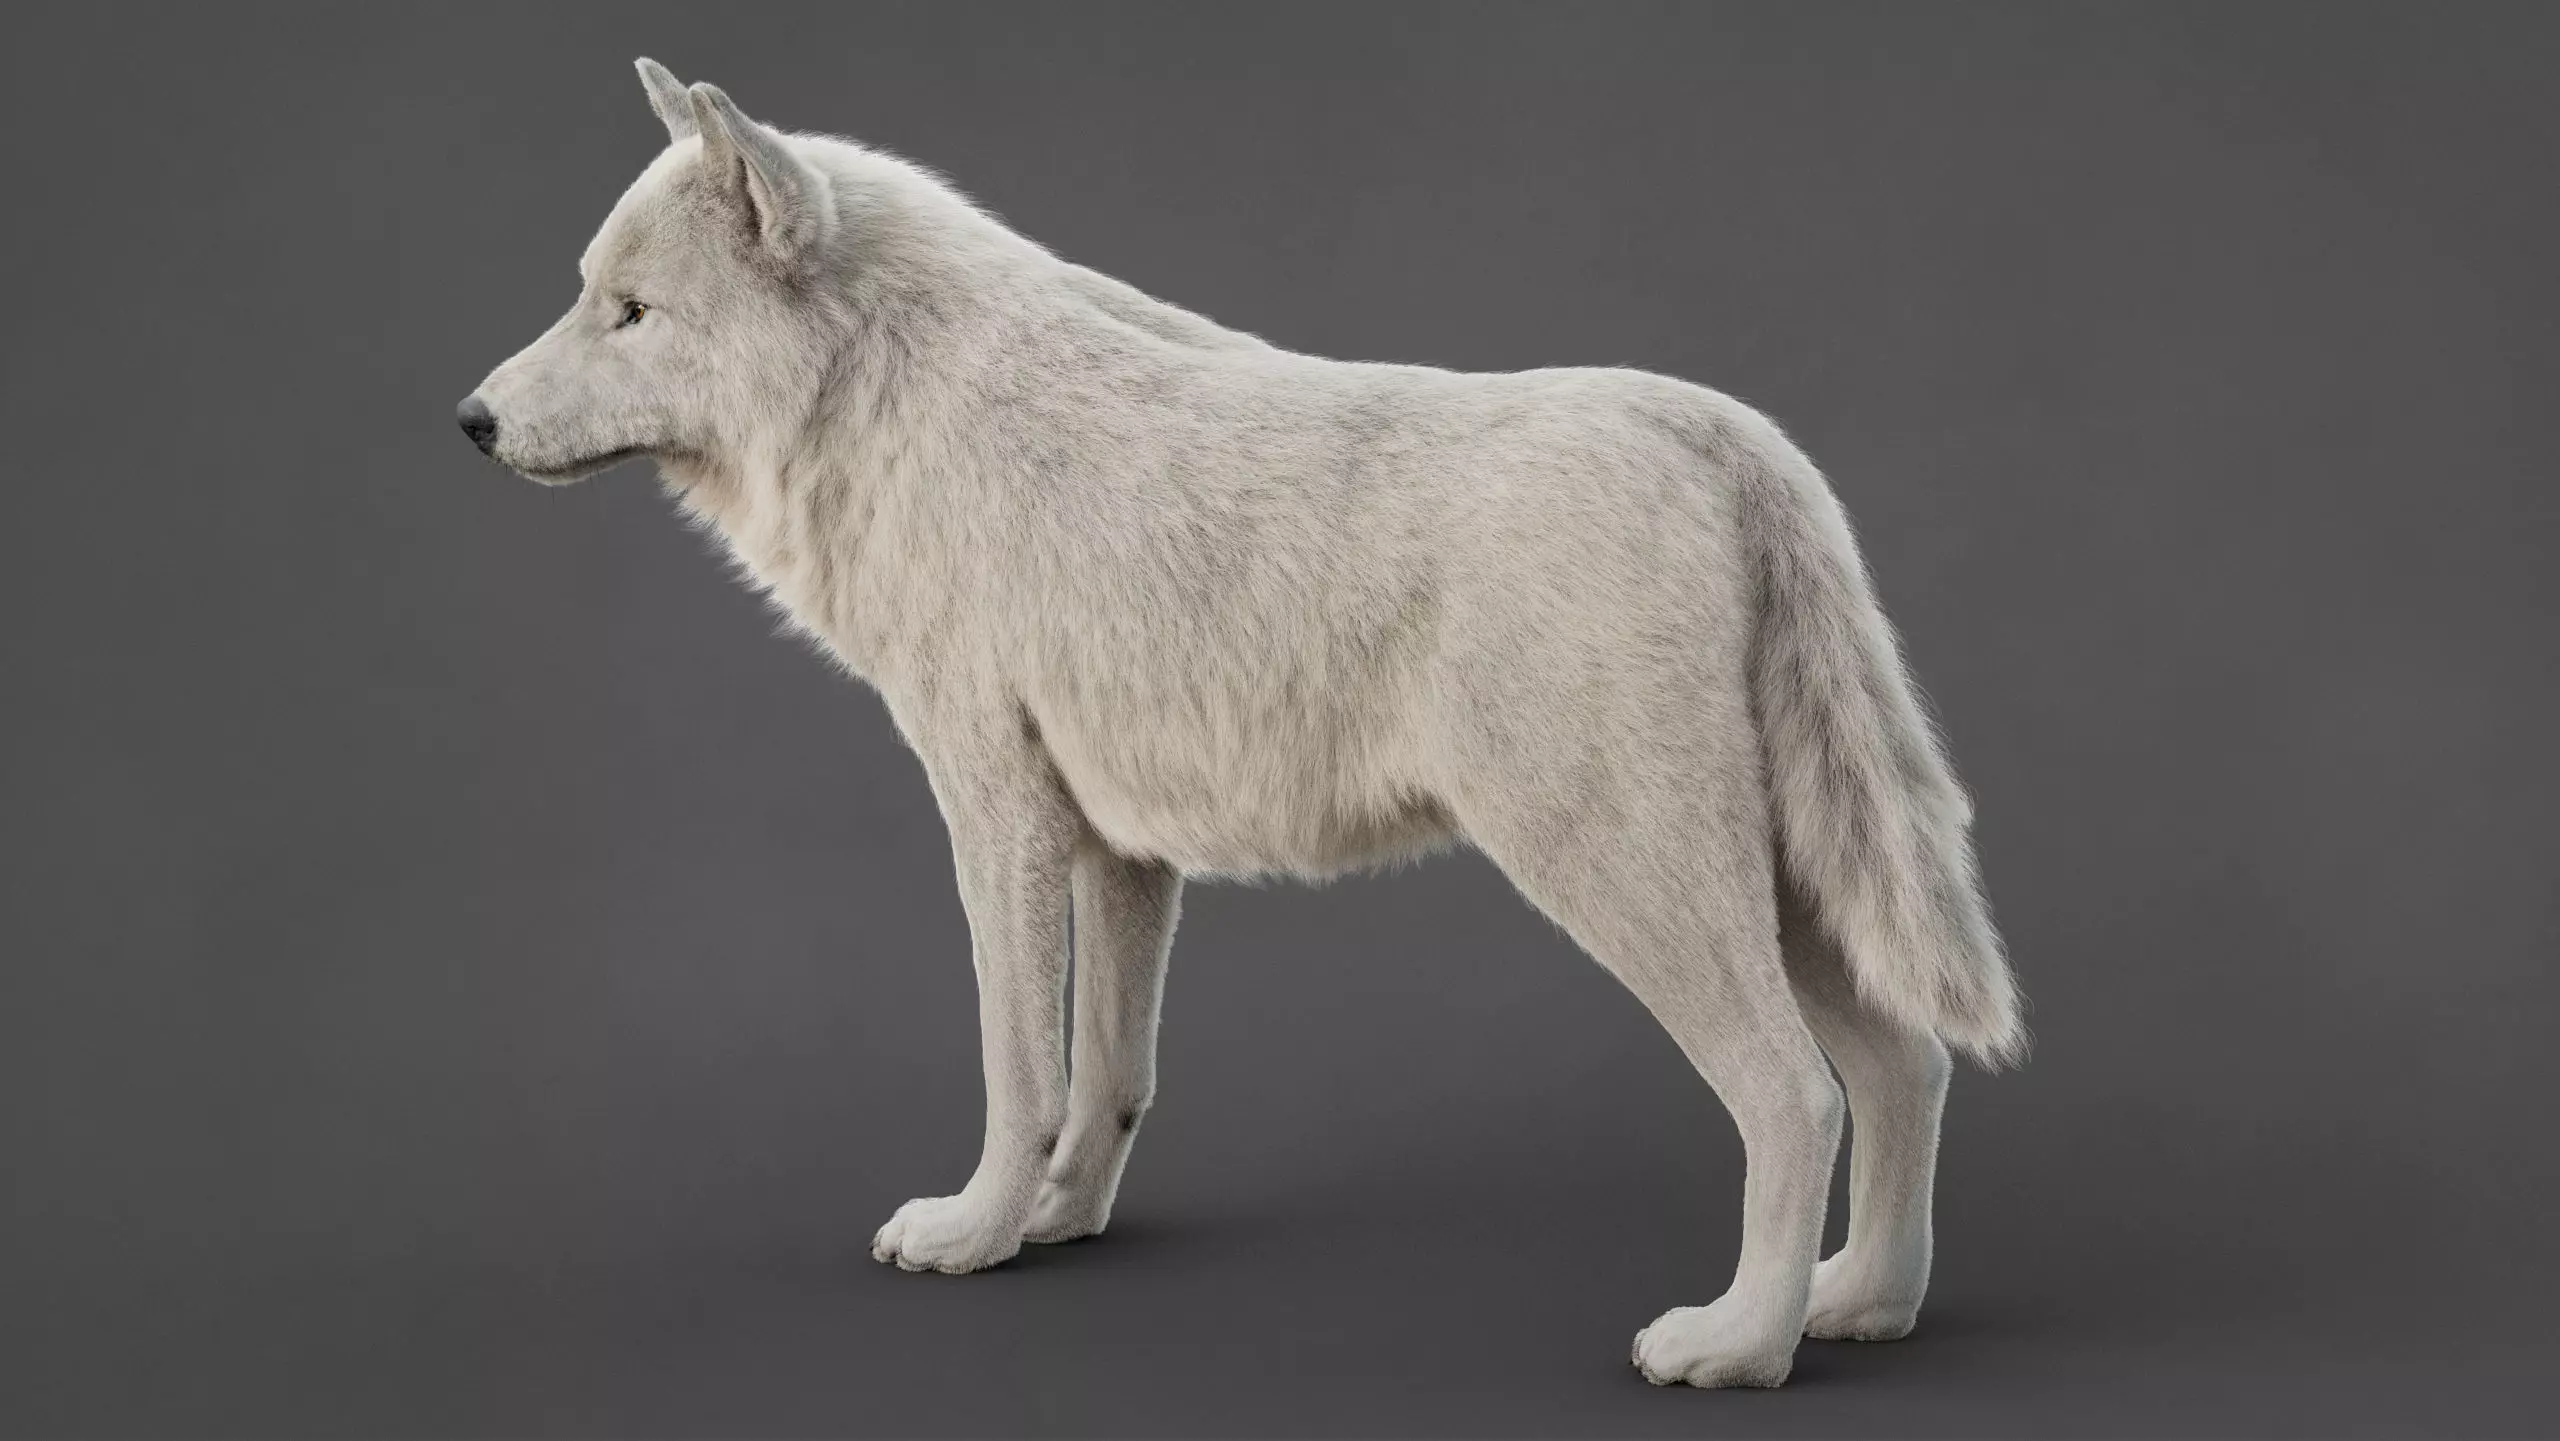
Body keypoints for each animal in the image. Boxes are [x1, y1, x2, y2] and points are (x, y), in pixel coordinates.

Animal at [458, 60, 2024, 1389]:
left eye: (632, 314)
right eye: (588, 295)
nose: (469, 421)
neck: (891, 402)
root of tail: (1728, 439)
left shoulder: (997, 819)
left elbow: (1017, 1065)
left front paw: (970, 1233)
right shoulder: (1120, 852)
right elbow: (1107, 1076)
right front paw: (1056, 1223)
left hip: (1631, 882)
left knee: (1795, 1094)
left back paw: (1740, 1344)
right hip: (1785, 890)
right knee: (1909, 1064)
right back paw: (1856, 1305)